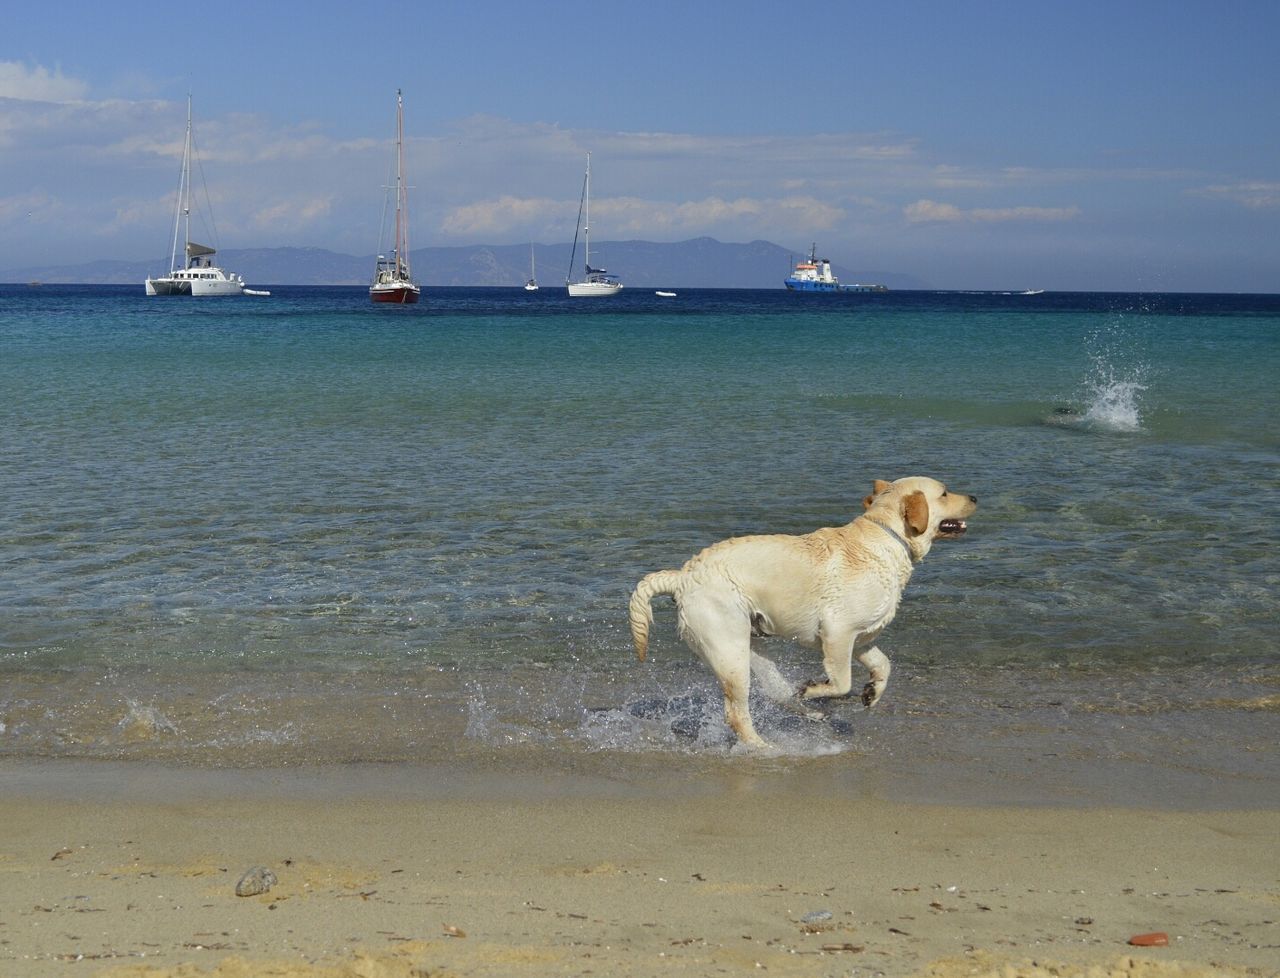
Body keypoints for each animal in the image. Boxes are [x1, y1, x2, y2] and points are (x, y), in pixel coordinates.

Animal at [629, 478, 977, 747]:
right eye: (945, 493)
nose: (974, 497)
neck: (886, 538)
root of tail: (683, 576)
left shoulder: (862, 638)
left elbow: (884, 665)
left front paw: (872, 692)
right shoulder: (838, 633)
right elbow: (842, 681)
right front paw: (817, 688)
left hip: (749, 646)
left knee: (777, 692)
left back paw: (811, 711)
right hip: (730, 651)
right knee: (737, 714)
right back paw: (765, 747)